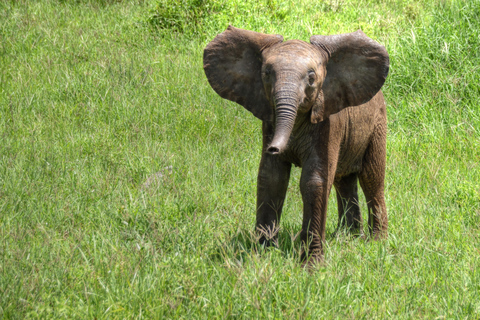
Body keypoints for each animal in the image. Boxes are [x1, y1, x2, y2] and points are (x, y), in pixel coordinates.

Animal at [203, 25, 390, 264]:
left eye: (311, 78)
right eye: (266, 73)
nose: (273, 148)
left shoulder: (328, 122)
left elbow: (314, 181)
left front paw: (312, 266)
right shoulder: (270, 121)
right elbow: (271, 178)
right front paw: (263, 257)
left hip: (378, 125)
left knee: (372, 178)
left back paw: (376, 243)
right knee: (344, 180)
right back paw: (349, 238)